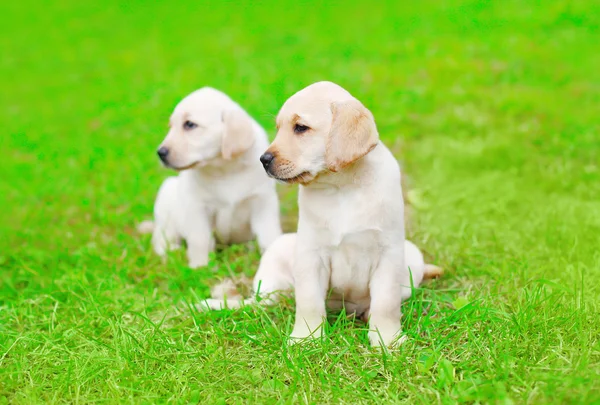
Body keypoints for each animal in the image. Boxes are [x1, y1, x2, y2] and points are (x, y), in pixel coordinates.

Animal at [140, 87, 282, 266]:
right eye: (171, 126)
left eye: (189, 125)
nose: (160, 153)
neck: (225, 169)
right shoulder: (198, 207)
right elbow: (200, 240)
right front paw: (199, 266)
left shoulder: (262, 202)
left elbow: (269, 235)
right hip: (167, 200)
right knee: (161, 238)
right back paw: (171, 251)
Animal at [204, 83, 442, 348]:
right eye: (278, 128)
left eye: (300, 127)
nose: (263, 160)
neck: (342, 187)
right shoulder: (311, 254)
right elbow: (308, 302)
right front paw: (306, 338)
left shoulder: (388, 253)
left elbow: (386, 304)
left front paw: (387, 339)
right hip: (278, 256)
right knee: (262, 302)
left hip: (411, 256)